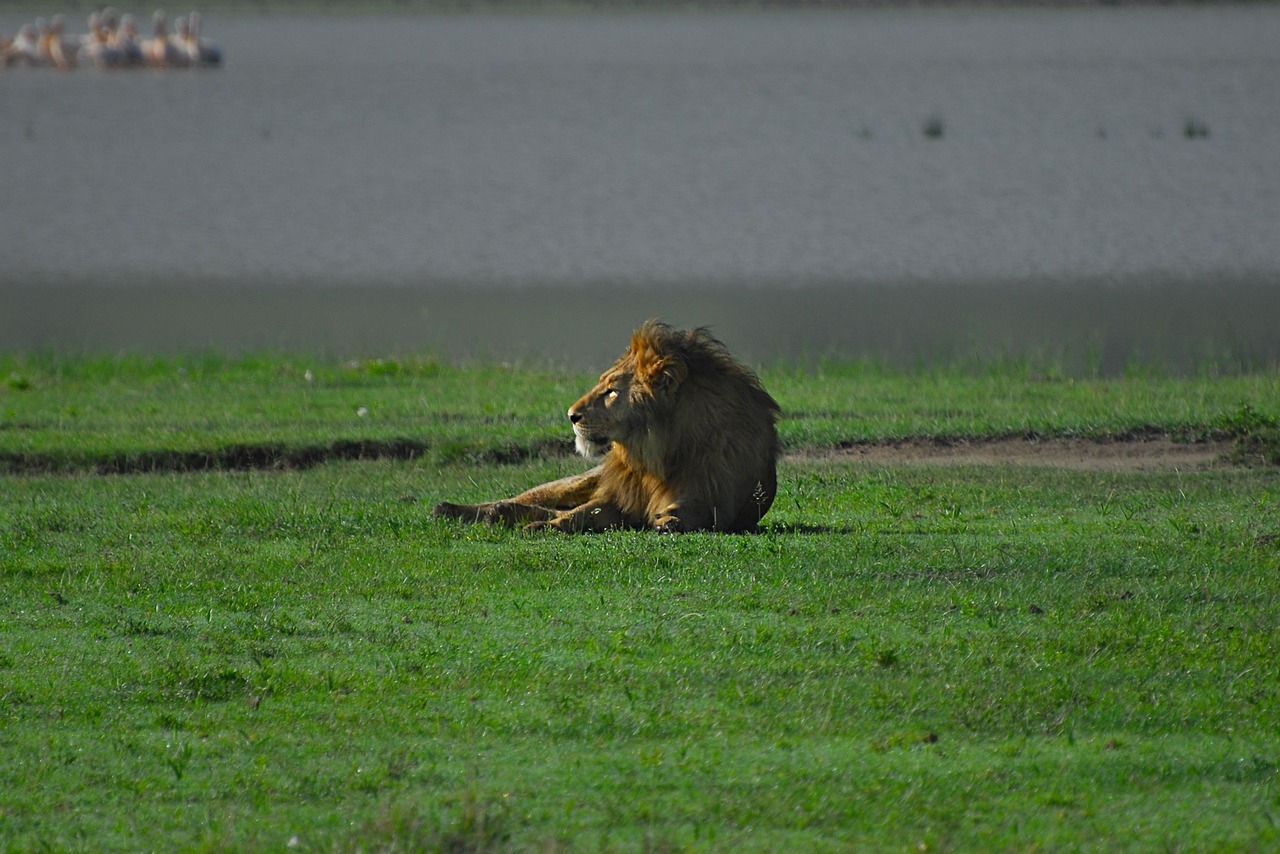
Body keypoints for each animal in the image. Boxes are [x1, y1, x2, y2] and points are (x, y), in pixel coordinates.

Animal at [432, 320, 778, 535]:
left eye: (611, 392)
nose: (571, 415)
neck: (656, 455)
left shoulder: (714, 497)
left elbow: (690, 511)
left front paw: (670, 521)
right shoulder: (618, 497)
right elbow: (579, 514)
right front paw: (543, 528)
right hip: (576, 481)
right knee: (529, 499)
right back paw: (452, 509)